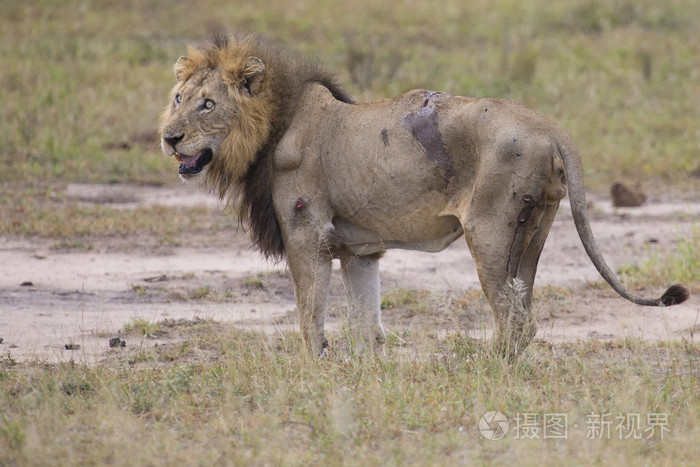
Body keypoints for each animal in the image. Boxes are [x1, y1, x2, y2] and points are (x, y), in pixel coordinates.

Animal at [160, 33, 688, 358]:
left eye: (207, 104)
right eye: (178, 99)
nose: (168, 137)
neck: (272, 127)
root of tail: (550, 127)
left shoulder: (307, 235)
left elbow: (311, 318)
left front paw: (312, 373)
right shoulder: (359, 250)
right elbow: (367, 326)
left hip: (490, 232)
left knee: (516, 320)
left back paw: (484, 371)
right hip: (534, 231)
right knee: (525, 311)